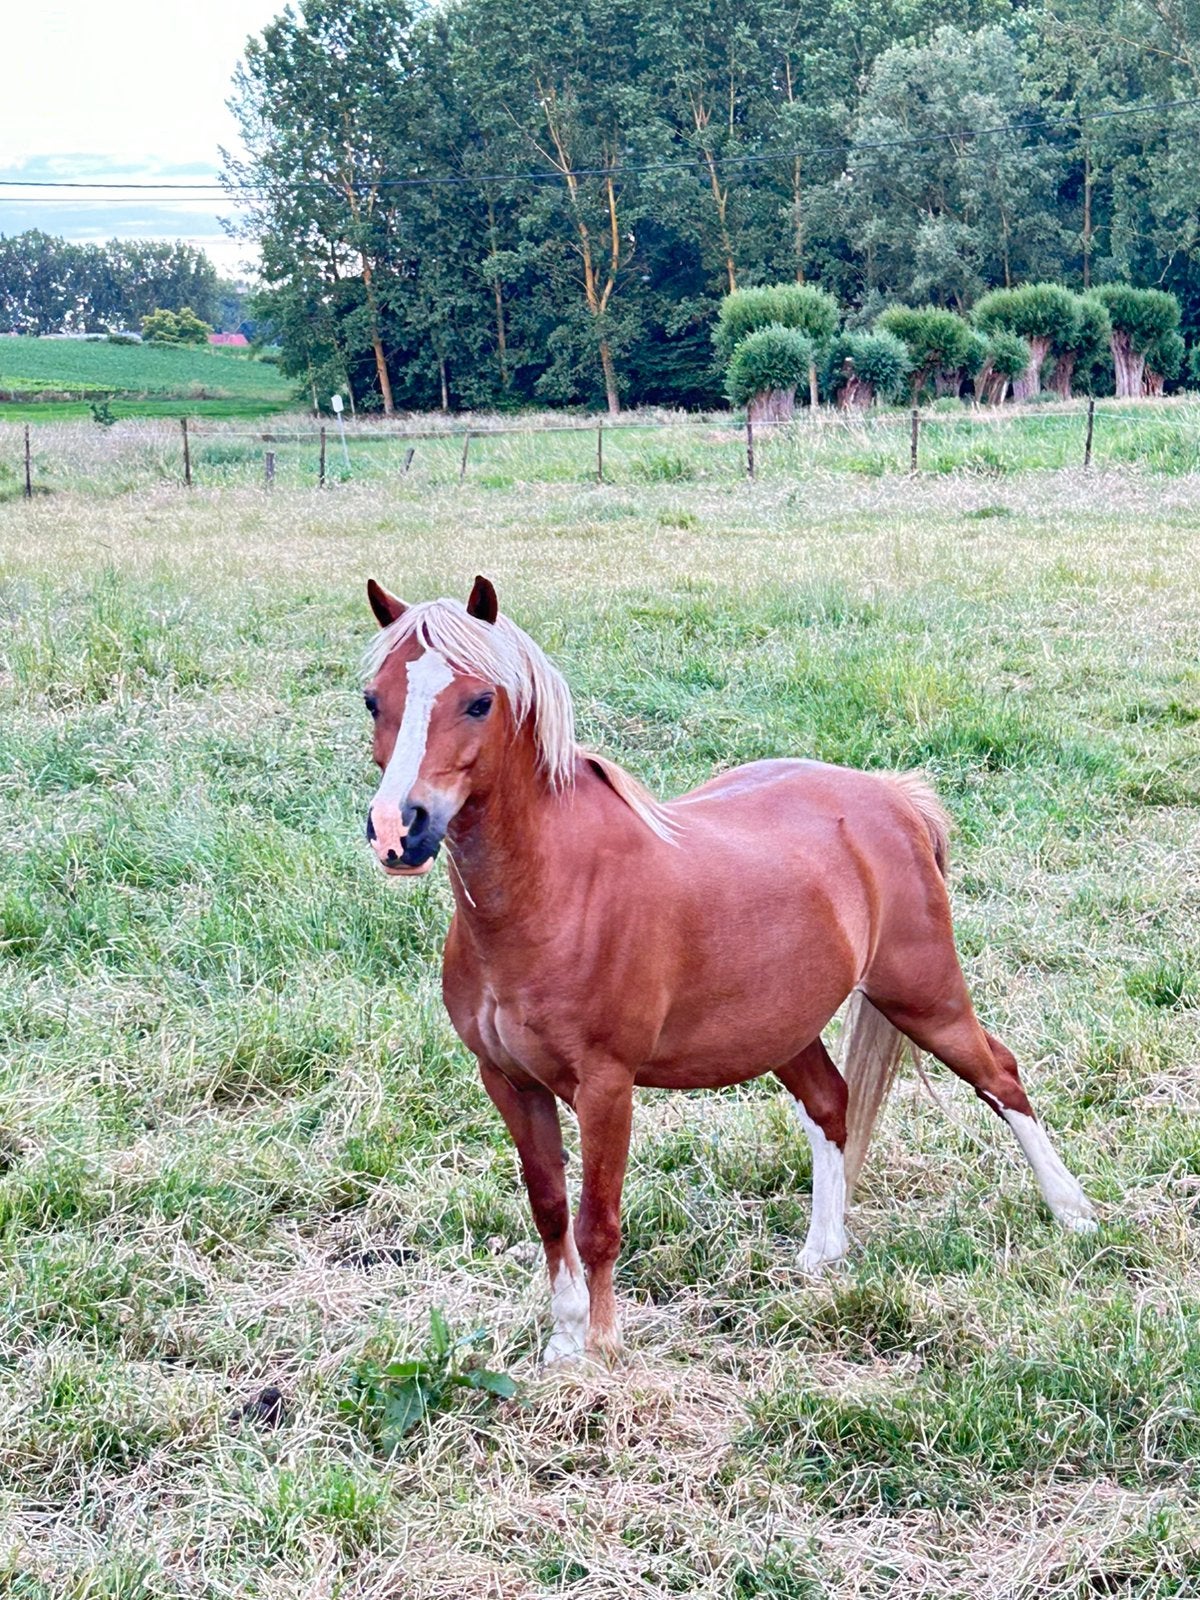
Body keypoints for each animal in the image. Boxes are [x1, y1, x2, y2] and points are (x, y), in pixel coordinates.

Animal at [361, 575, 1096, 1364]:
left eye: (479, 701)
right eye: (374, 698)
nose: (398, 831)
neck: (555, 890)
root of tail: (891, 795)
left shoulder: (605, 1085)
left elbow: (597, 1220)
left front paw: (604, 1348)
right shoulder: (508, 1081)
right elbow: (551, 1209)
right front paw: (563, 1343)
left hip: (924, 998)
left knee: (1001, 1078)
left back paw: (1075, 1213)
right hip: (783, 1027)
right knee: (833, 1105)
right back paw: (823, 1253)